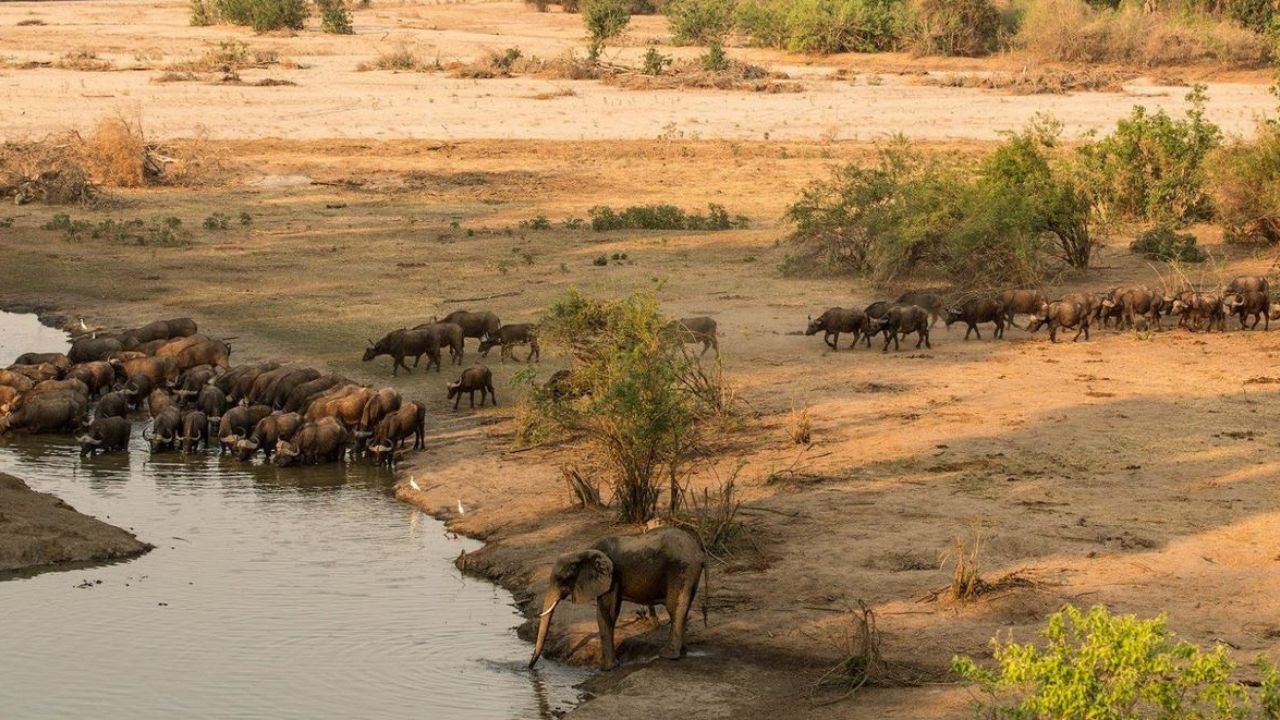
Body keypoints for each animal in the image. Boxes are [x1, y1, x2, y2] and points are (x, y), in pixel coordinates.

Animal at [528, 527, 707, 671]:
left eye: (562, 579)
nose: (530, 667)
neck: (583, 552)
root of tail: (700, 553)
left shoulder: (612, 577)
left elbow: (606, 612)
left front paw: (607, 669)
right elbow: (610, 611)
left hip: (680, 570)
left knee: (674, 607)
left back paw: (668, 655)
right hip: (689, 573)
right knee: (683, 607)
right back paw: (682, 653)